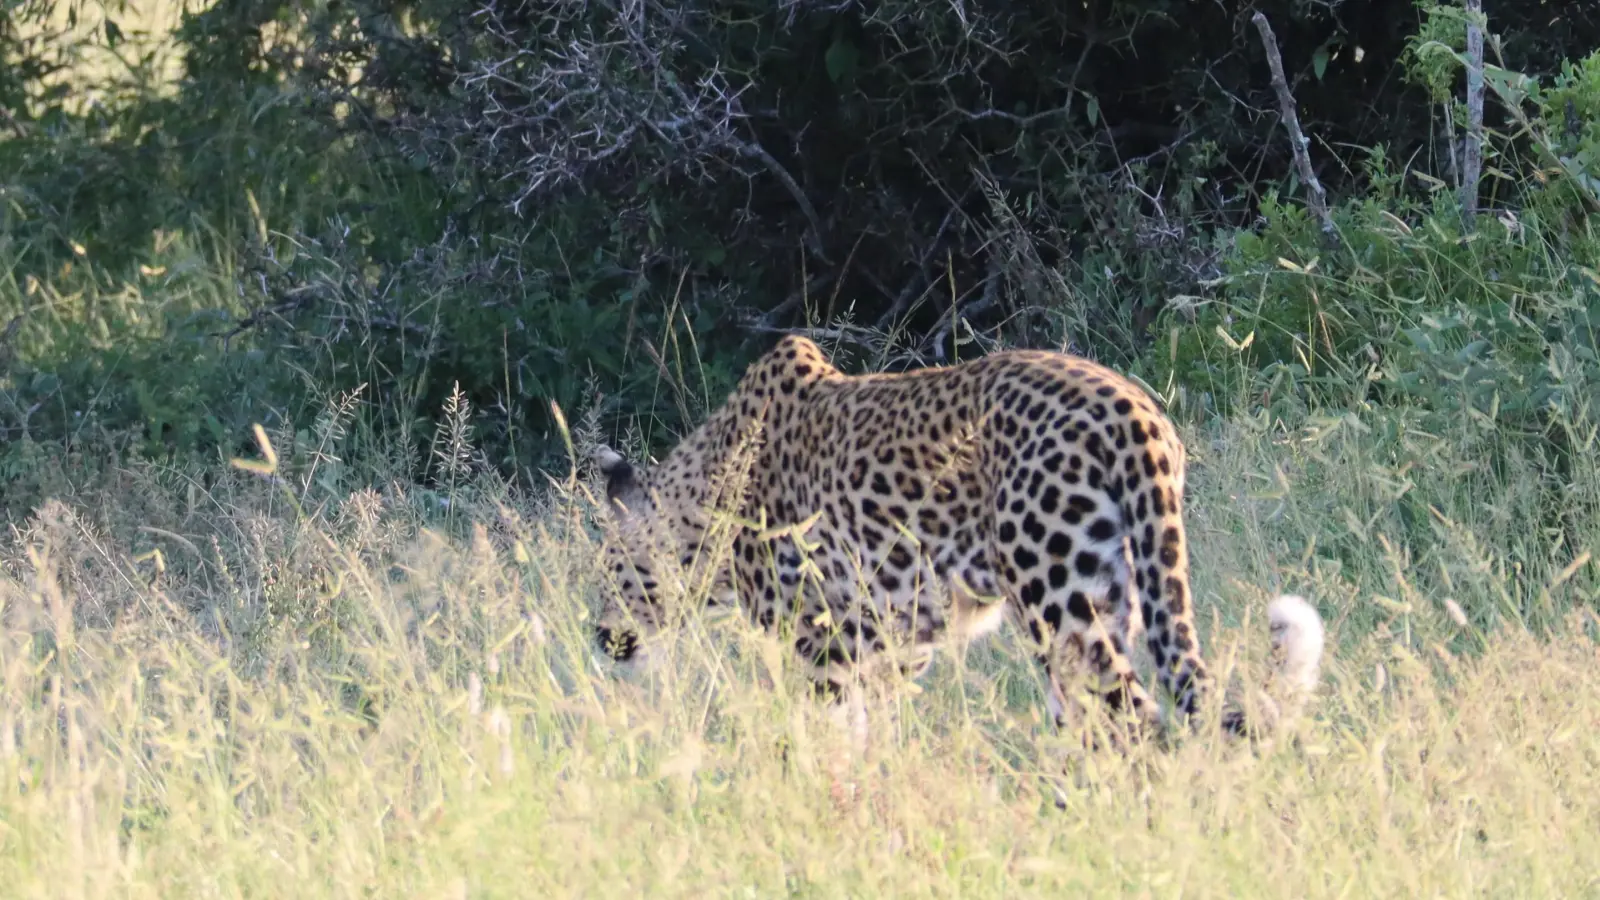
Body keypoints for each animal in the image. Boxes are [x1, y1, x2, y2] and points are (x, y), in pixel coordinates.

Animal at [592, 333, 1324, 746]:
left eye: (607, 572)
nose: (597, 636)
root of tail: (1134, 408)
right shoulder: (890, 650)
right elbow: (872, 736)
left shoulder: (810, 641)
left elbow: (816, 736)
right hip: (1113, 596)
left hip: (1061, 606)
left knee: (1136, 723)